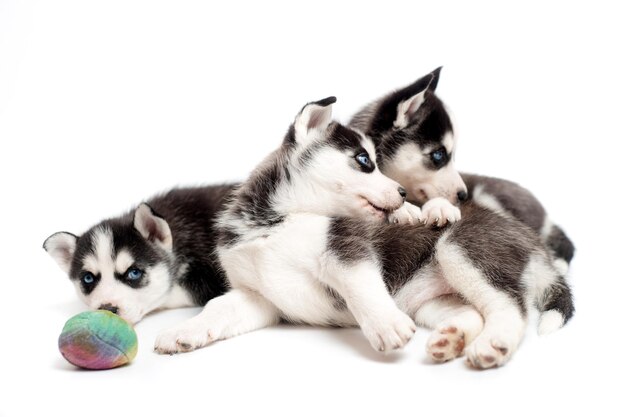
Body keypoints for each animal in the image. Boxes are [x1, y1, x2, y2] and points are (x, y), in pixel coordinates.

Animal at [152, 97, 572, 368]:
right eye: (364, 160)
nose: (402, 194)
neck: (276, 221)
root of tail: (535, 243)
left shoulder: (346, 249)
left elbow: (359, 287)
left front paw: (385, 326)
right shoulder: (261, 297)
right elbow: (217, 308)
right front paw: (183, 332)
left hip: (460, 249)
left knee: (512, 308)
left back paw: (493, 344)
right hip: (433, 299)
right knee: (473, 311)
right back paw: (451, 338)